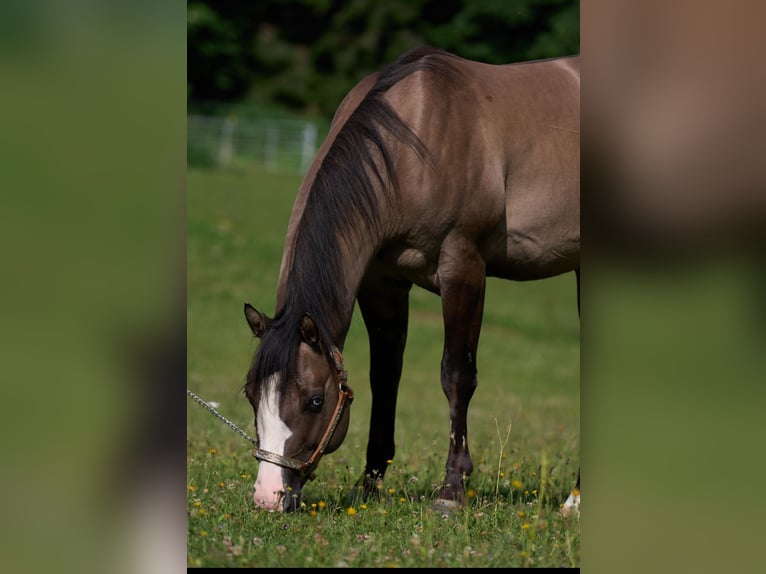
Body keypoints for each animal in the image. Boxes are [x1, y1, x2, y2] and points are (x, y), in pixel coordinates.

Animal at [243, 46, 580, 513]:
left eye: (314, 400)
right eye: (250, 394)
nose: (267, 496)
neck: (414, 141)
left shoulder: (463, 268)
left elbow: (457, 375)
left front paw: (451, 490)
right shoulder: (381, 284)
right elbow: (384, 377)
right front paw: (368, 484)